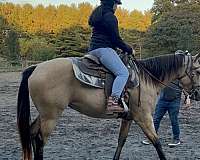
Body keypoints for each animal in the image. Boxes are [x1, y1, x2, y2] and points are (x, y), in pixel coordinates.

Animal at [17, 52, 200, 159]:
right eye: (198, 71)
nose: (197, 94)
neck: (146, 80)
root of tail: (36, 67)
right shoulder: (144, 117)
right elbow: (157, 143)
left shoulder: (128, 118)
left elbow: (121, 142)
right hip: (51, 117)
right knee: (40, 141)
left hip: (45, 115)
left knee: (31, 133)